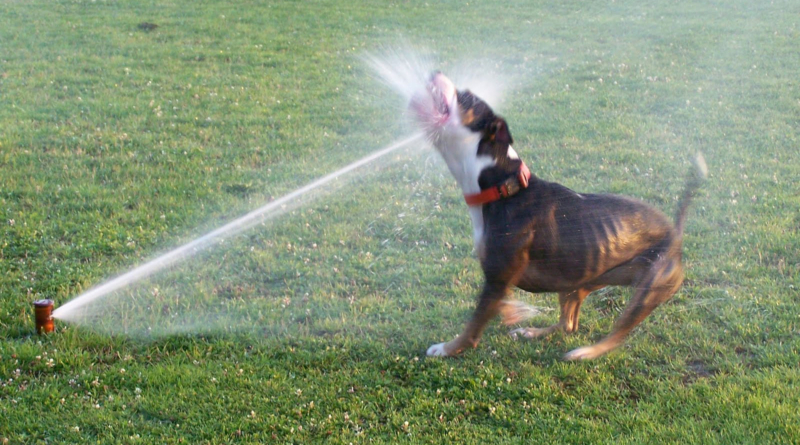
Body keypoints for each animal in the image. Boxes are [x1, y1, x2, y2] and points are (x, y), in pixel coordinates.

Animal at [412, 71, 708, 360]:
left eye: (466, 96)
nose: (434, 71)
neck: (504, 186)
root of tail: (676, 232)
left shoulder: (496, 280)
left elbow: (472, 328)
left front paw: (446, 348)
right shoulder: (502, 280)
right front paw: (516, 313)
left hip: (646, 291)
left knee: (617, 334)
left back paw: (585, 352)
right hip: (579, 279)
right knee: (568, 324)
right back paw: (532, 332)